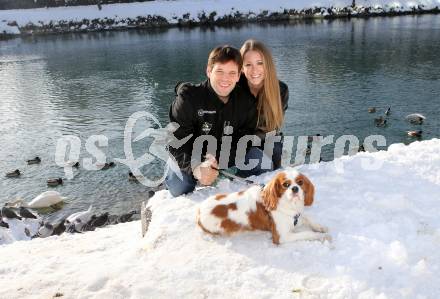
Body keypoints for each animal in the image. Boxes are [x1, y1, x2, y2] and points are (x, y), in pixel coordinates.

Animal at [196, 171, 330, 244]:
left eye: (300, 182)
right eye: (285, 184)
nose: (295, 188)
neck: (287, 203)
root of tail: (199, 211)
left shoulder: (296, 216)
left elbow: (307, 218)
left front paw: (320, 227)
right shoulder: (281, 237)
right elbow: (307, 233)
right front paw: (322, 237)